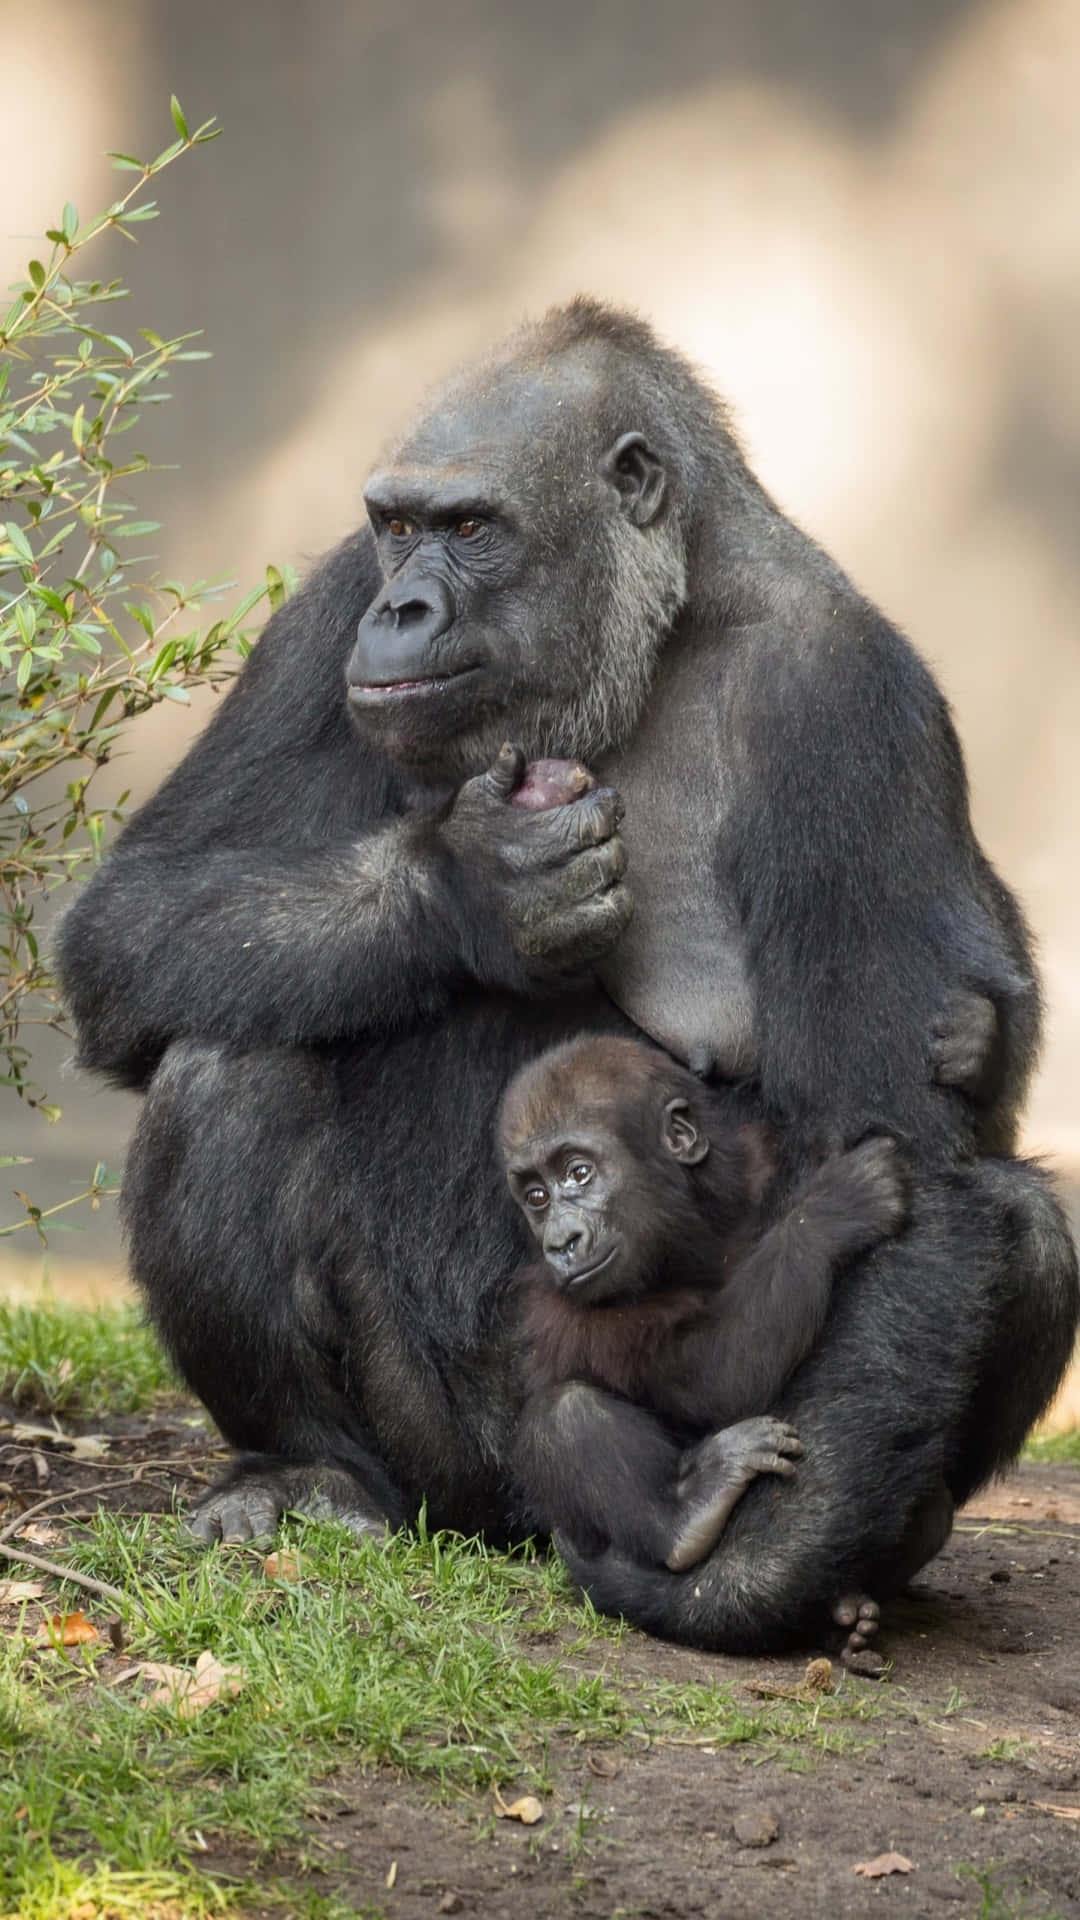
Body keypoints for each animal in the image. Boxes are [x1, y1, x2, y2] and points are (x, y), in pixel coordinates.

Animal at [499, 1044, 903, 1582]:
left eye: (579, 1172)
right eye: (537, 1198)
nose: (561, 1242)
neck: (695, 1225)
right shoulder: (562, 1306)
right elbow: (713, 1377)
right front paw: (828, 1214)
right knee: (564, 1411)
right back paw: (685, 1515)